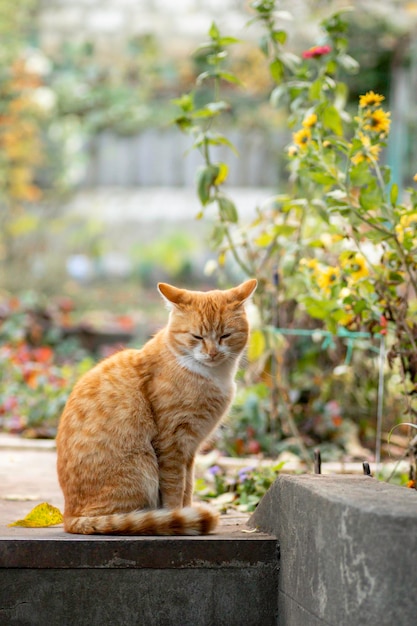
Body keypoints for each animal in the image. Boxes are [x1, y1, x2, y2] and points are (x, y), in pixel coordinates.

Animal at [56, 280, 256, 532]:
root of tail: (69, 517)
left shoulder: (189, 449)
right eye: (197, 336)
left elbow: (187, 487)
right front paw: (176, 515)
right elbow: (174, 488)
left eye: (225, 335)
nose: (212, 353)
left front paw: (185, 512)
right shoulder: (172, 443)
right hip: (142, 468)